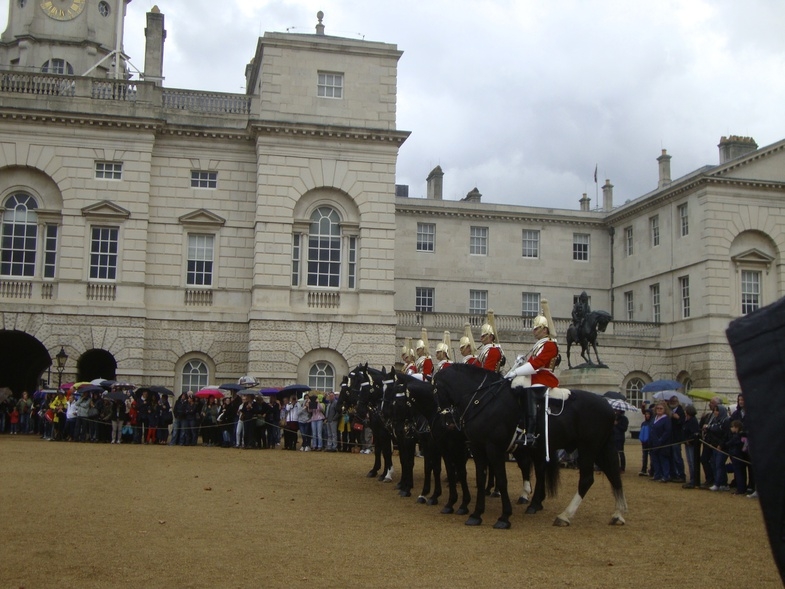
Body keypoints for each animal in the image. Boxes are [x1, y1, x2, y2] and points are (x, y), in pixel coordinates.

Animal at [434, 362, 624, 528]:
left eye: (434, 389)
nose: (447, 423)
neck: (482, 399)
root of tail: (608, 405)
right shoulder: (478, 448)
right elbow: (481, 479)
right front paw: (476, 514)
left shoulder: (494, 448)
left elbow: (502, 480)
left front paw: (504, 517)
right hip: (598, 448)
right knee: (613, 475)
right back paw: (617, 514)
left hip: (588, 448)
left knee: (586, 479)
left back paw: (564, 515)